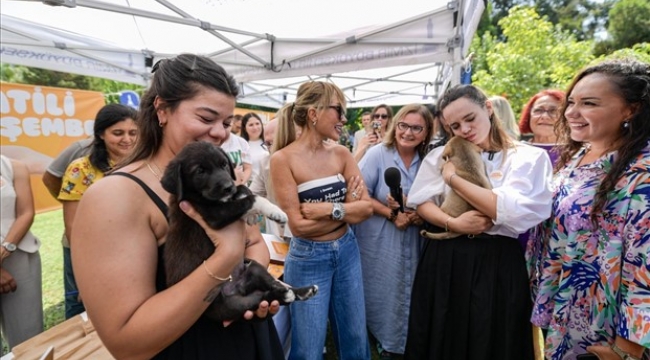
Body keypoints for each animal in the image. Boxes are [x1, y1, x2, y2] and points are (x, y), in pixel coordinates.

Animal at [159, 141, 316, 320]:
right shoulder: (214, 215)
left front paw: (251, 211)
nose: (228, 187)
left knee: (271, 284)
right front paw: (276, 212)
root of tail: (239, 287)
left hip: (253, 267)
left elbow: (243, 188)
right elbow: (253, 198)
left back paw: (302, 291)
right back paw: (284, 294)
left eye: (224, 164)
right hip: (232, 305)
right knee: (264, 297)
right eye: (200, 171)